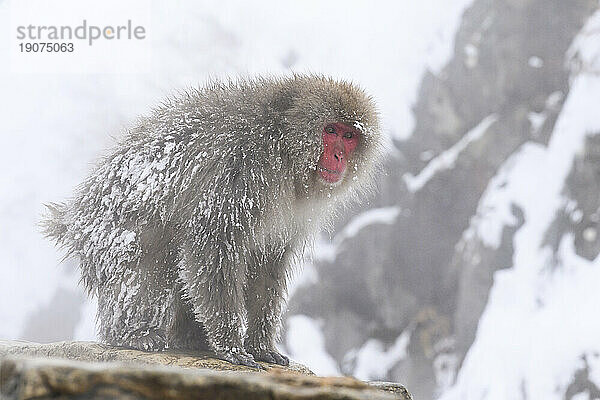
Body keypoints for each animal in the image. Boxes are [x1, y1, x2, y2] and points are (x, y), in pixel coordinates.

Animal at [44, 73, 386, 368]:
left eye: (350, 135)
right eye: (331, 130)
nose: (339, 156)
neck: (284, 150)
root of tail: (74, 218)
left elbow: (268, 263)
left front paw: (261, 346)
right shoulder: (240, 168)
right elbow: (212, 245)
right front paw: (230, 346)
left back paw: (189, 338)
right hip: (111, 236)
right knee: (149, 268)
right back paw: (132, 335)